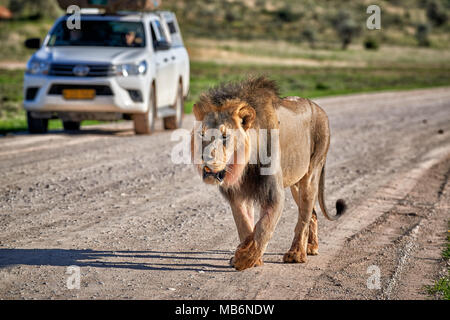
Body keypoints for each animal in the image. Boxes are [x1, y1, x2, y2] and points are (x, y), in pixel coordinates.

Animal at [192, 75, 346, 270]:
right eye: (202, 135)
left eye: (225, 136)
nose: (204, 159)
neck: (244, 166)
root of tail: (319, 108)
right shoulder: (237, 194)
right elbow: (245, 225)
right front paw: (248, 255)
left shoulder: (273, 194)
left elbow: (263, 227)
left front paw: (244, 259)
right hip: (296, 183)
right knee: (312, 213)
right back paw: (311, 247)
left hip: (312, 173)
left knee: (303, 217)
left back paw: (296, 254)